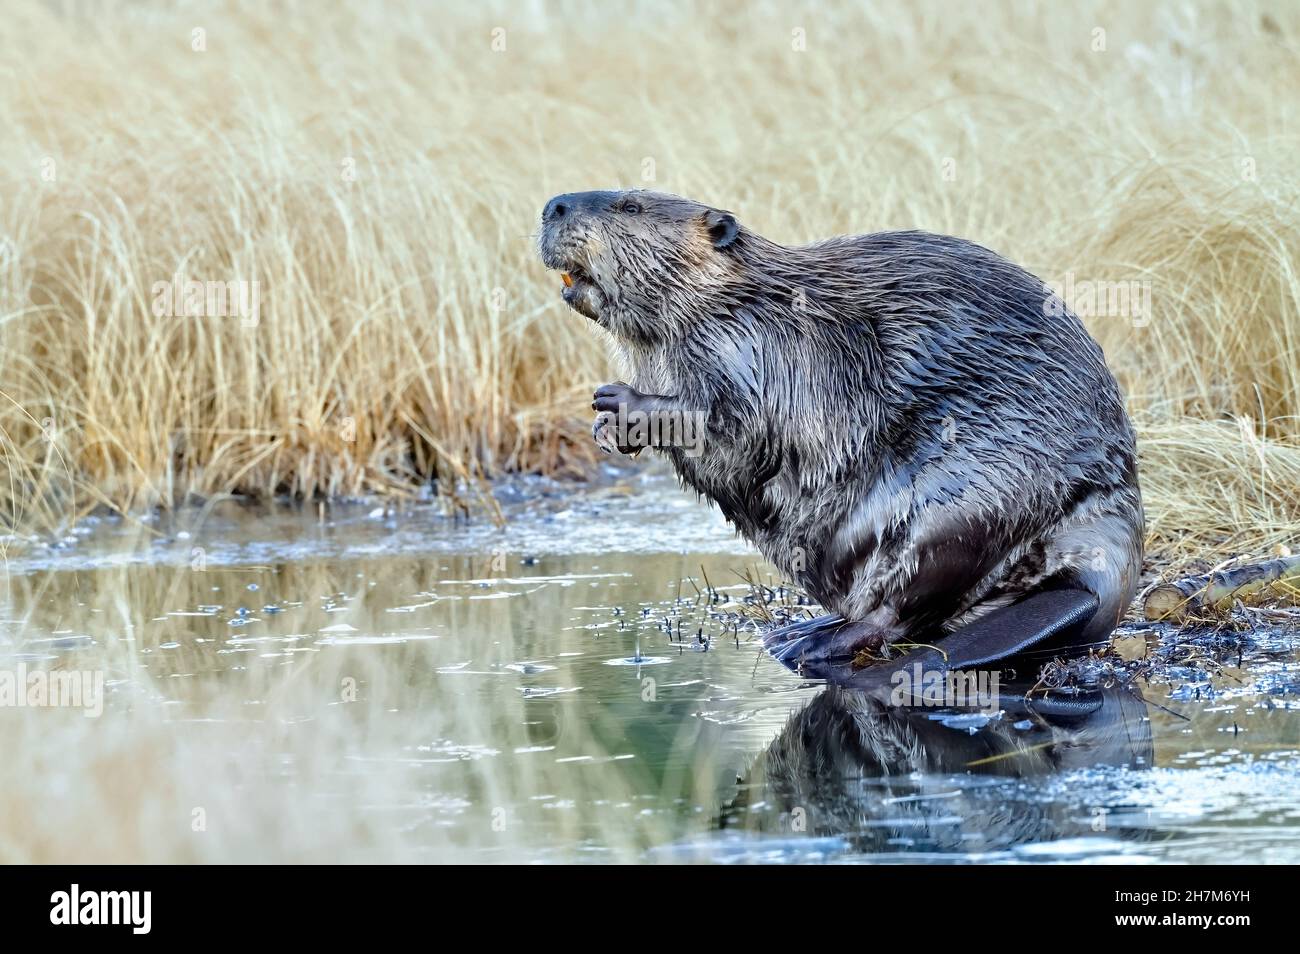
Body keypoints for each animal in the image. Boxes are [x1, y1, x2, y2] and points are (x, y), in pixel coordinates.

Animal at [533, 191, 1144, 670]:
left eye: (630, 206)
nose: (552, 205)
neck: (741, 300)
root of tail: (1093, 575)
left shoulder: (761, 348)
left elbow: (737, 420)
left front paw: (617, 401)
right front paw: (609, 428)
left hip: (958, 509)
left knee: (904, 611)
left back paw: (810, 643)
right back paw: (803, 629)